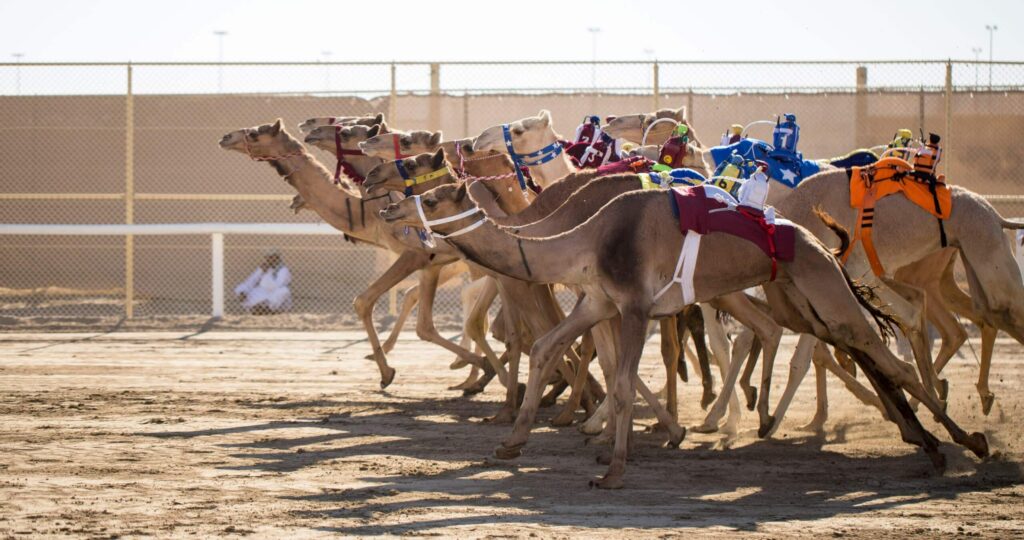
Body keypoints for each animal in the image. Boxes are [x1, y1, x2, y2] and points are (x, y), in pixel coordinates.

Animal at [381, 181, 988, 488]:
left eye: (431, 198)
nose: (387, 209)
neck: (587, 238)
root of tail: (822, 243)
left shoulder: (632, 304)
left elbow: (622, 382)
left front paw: (614, 471)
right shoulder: (598, 299)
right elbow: (548, 345)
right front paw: (510, 443)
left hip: (820, 284)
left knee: (886, 355)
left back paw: (965, 444)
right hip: (799, 298)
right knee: (854, 348)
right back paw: (929, 443)